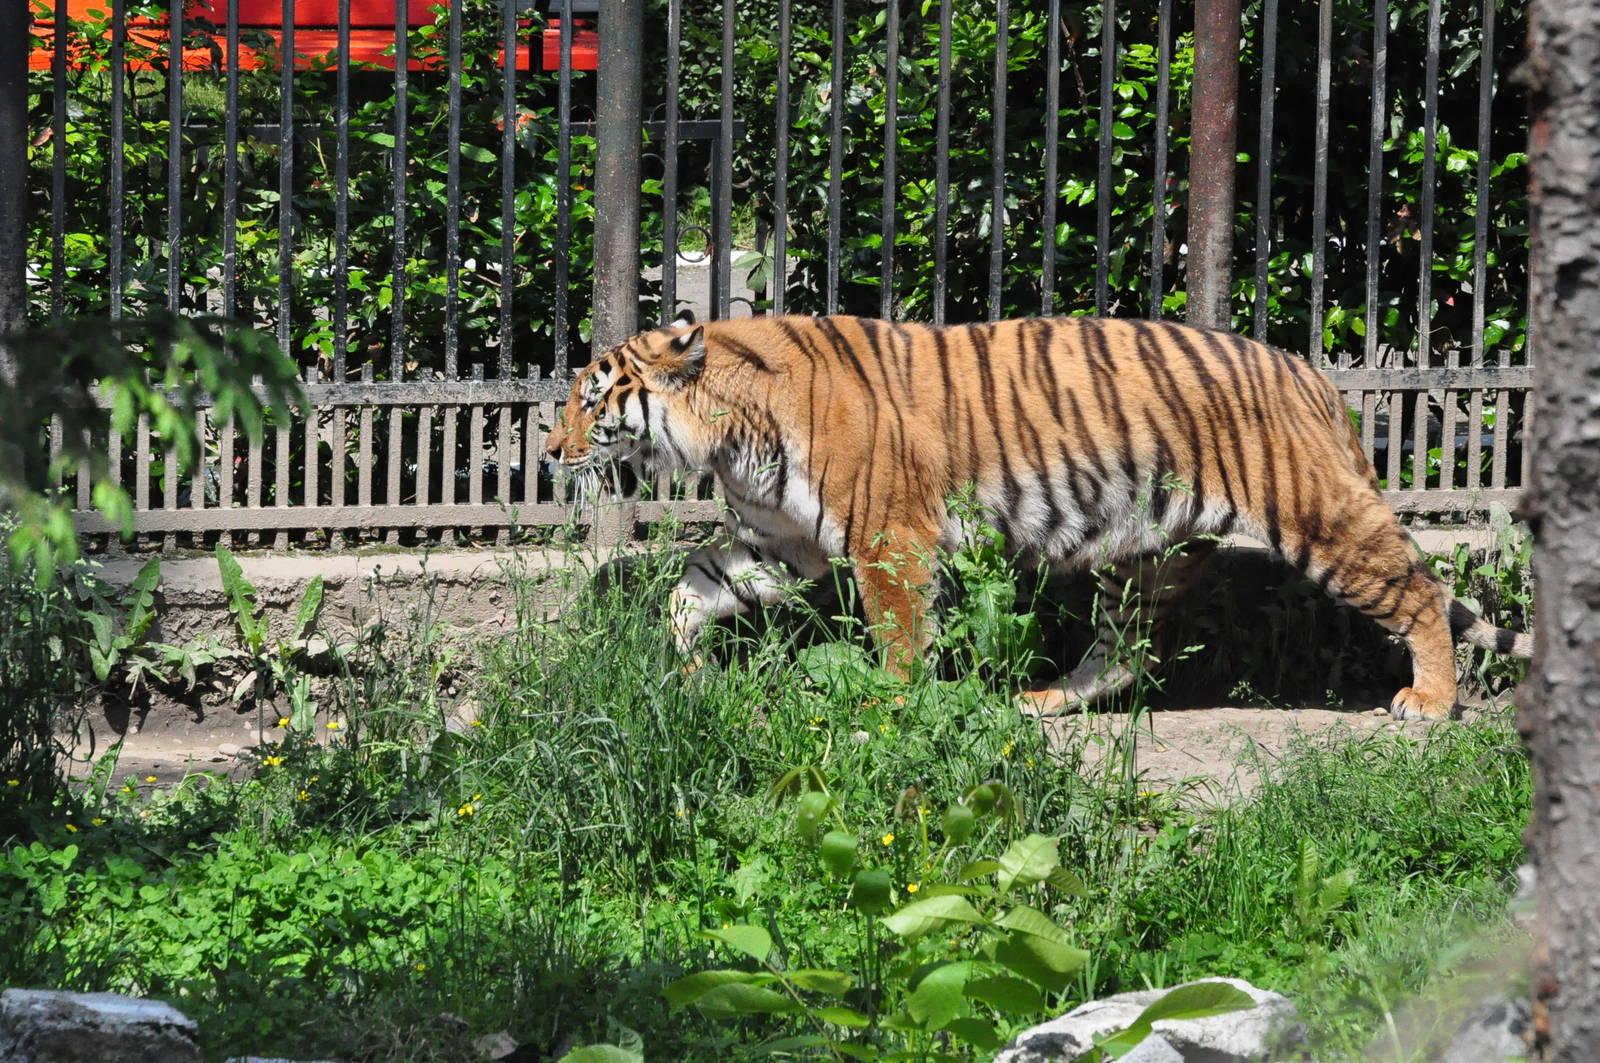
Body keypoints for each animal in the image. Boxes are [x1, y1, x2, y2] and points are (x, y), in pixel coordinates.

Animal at [543, 312, 1533, 719]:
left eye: (593, 401)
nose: (549, 453)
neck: (727, 433)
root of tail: (1311, 374)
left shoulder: (887, 539)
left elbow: (898, 634)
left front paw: (890, 707)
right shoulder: (784, 542)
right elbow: (690, 586)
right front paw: (688, 669)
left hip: (1318, 516)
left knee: (1416, 588)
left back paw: (1430, 701)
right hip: (1146, 552)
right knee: (1132, 645)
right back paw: (1049, 698)